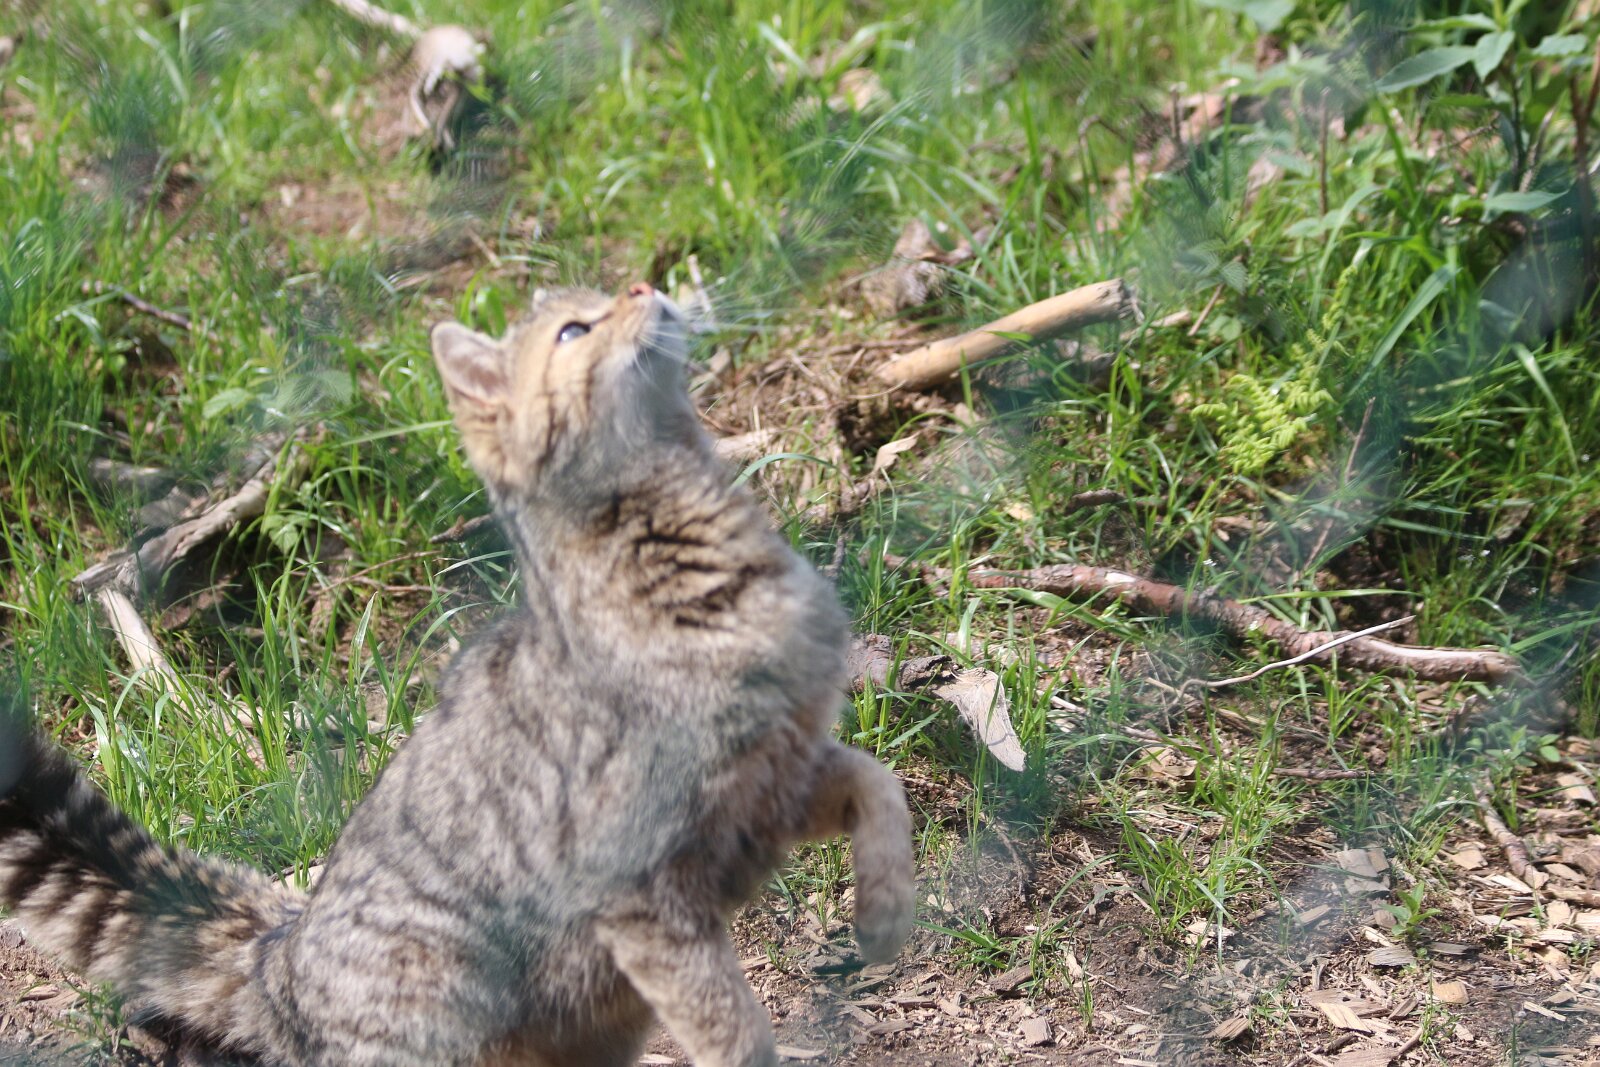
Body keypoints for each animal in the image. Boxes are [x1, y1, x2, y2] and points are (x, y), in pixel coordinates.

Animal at [0, 283, 915, 1066]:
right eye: (573, 332)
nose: (645, 287)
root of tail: (278, 959)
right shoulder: (648, 892)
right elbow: (729, 1022)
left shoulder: (777, 781)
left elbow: (882, 786)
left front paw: (883, 914)